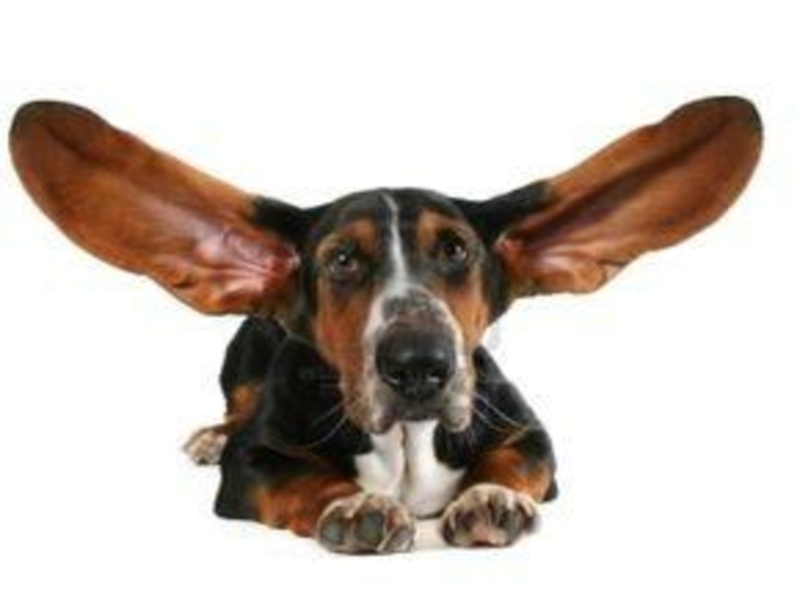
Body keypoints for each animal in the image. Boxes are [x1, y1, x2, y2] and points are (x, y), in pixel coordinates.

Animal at [9, 97, 762, 553]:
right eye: (342, 260)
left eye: (456, 251)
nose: (419, 365)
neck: (407, 441)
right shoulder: (252, 464)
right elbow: (298, 478)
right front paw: (351, 508)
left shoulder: (533, 436)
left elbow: (512, 460)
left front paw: (488, 496)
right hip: (242, 362)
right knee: (231, 409)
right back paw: (207, 436)